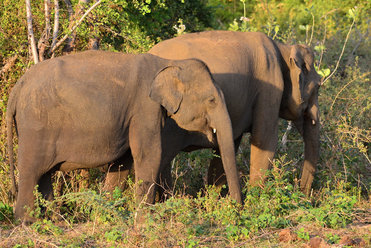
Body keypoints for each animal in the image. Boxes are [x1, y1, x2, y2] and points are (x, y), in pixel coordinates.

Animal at [7, 50, 243, 221]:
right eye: (212, 100)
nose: (237, 210)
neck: (170, 62)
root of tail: (17, 87)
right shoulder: (144, 108)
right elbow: (149, 154)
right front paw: (145, 219)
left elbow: (124, 161)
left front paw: (107, 212)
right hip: (35, 124)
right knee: (32, 171)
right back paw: (28, 222)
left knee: (44, 175)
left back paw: (53, 220)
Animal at [104, 30, 322, 195]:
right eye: (319, 86)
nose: (303, 193)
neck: (282, 47)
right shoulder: (269, 88)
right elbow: (264, 142)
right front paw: (255, 203)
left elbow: (226, 148)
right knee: (161, 158)